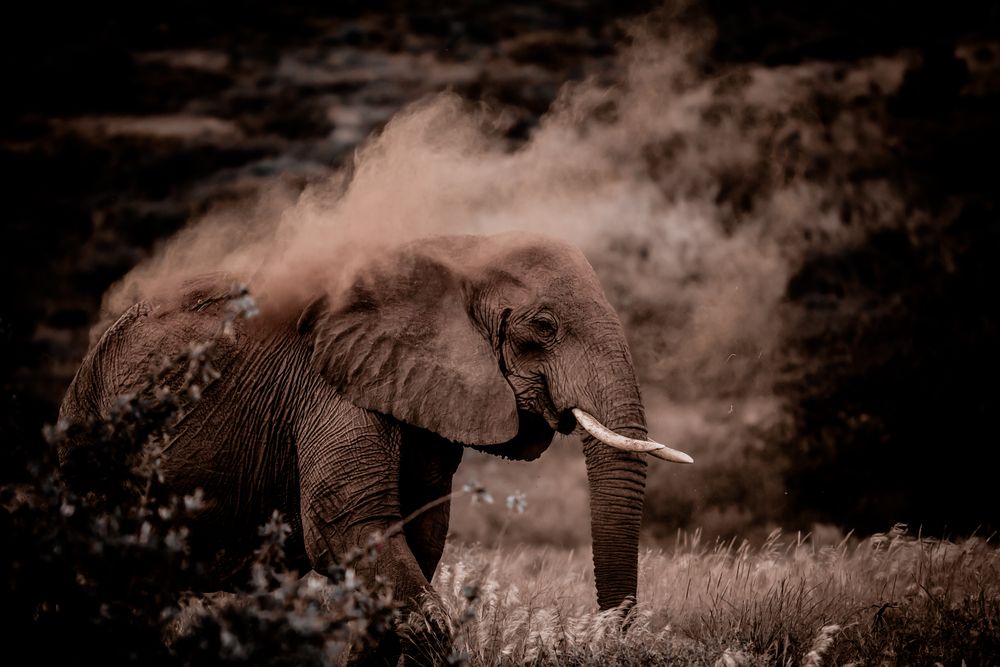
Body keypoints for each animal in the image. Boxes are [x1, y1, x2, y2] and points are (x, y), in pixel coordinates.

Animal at [58, 232, 692, 660]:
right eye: (544, 327)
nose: (602, 639)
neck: (460, 251)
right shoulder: (332, 383)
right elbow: (350, 526)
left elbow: (419, 530)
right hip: (89, 447)